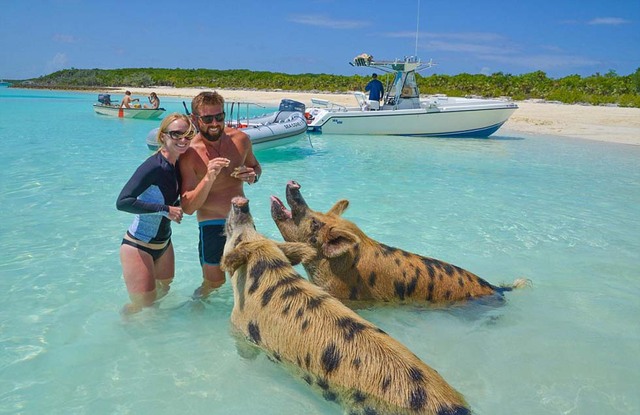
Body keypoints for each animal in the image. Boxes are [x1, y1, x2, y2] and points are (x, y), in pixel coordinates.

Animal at [220, 197, 470, 415]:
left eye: (239, 239)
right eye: (254, 227)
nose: (242, 203)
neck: (267, 271)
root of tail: (455, 408)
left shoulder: (239, 325)